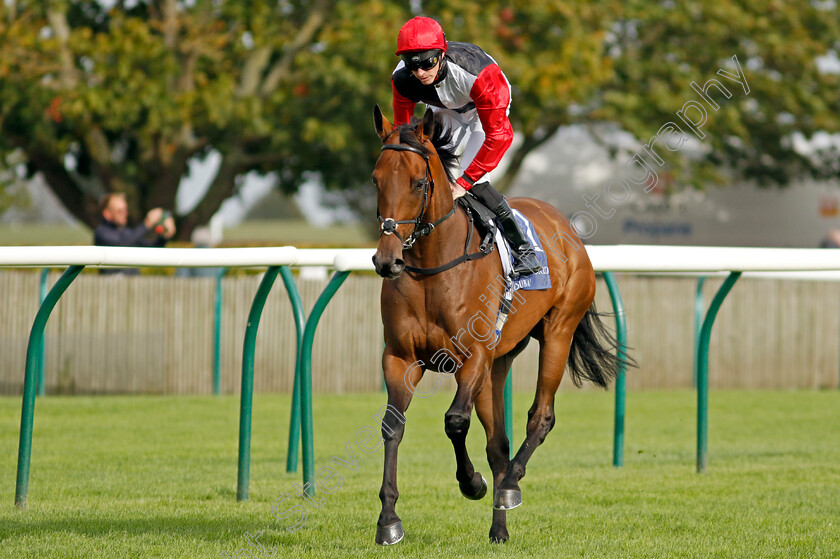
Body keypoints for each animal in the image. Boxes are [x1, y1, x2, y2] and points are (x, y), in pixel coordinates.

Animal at [370, 103, 628, 544]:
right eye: (376, 180)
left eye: (419, 184)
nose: (387, 260)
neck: (432, 268)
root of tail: (566, 226)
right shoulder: (401, 357)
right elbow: (393, 426)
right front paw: (388, 520)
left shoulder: (473, 355)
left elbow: (455, 421)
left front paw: (471, 483)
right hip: (498, 364)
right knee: (499, 445)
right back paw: (499, 528)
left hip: (558, 331)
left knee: (540, 417)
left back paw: (508, 486)